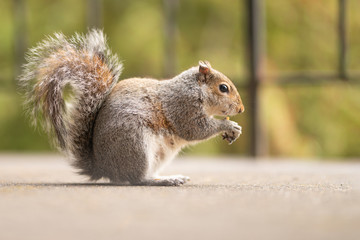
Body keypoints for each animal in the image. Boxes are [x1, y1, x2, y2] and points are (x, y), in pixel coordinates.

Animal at [19, 29, 245, 186]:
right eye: (223, 88)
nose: (241, 109)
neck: (195, 90)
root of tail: (104, 168)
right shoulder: (182, 106)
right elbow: (195, 130)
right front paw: (228, 126)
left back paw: (169, 176)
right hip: (136, 143)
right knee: (137, 178)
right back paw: (164, 181)